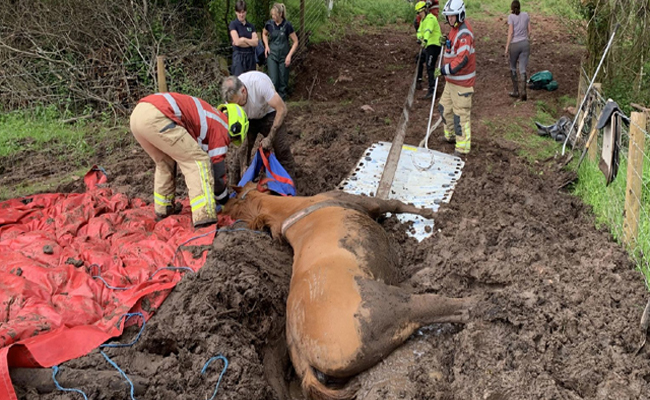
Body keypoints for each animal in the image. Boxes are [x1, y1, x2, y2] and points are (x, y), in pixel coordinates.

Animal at [223, 183, 470, 398]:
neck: (289, 210)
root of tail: (302, 354)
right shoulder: (366, 202)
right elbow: (396, 204)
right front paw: (437, 213)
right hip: (386, 309)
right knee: (443, 306)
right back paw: (476, 303)